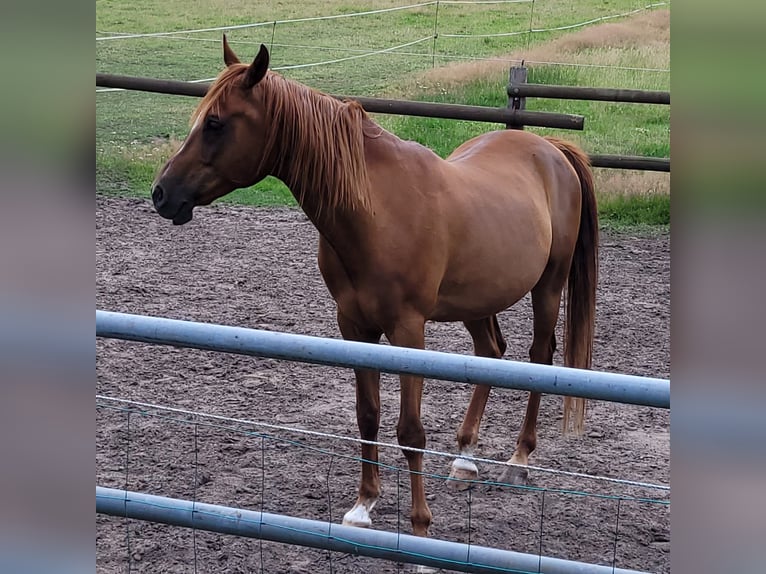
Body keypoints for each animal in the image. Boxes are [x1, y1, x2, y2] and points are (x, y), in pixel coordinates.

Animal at [151, 37, 598, 538]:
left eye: (215, 123)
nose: (161, 193)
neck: (376, 210)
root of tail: (549, 147)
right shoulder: (355, 327)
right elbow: (368, 416)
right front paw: (364, 504)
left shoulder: (408, 331)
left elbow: (410, 431)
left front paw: (420, 525)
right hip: (478, 299)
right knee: (491, 353)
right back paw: (464, 458)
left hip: (549, 286)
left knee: (539, 357)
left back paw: (518, 460)